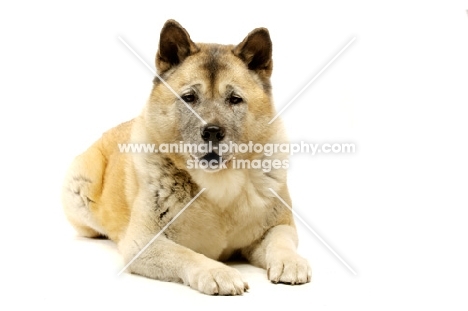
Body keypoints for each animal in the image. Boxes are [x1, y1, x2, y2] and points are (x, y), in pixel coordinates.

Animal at [62, 19, 310, 298]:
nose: (212, 131)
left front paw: (291, 262)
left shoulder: (278, 226)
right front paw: (217, 272)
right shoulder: (143, 244)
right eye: (189, 97)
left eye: (234, 99)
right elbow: (187, 254)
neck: (219, 183)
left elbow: (282, 239)